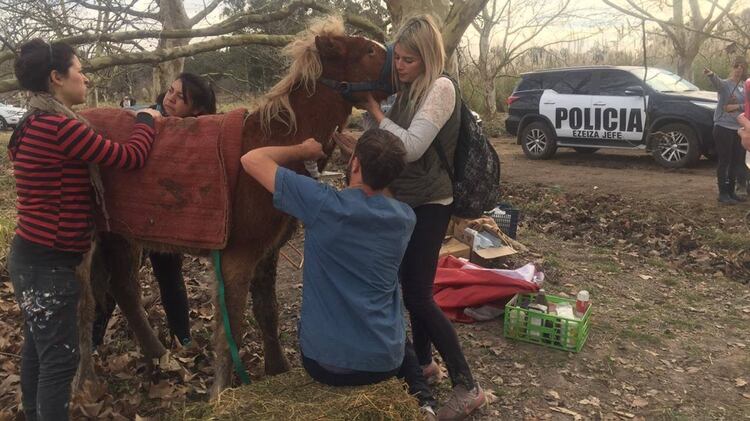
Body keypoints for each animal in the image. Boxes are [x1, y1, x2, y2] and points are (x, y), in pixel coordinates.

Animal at [78, 16, 390, 396]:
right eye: (370, 51)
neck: (271, 146)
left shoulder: (267, 252)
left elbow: (267, 311)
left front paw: (277, 370)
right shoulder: (236, 255)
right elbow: (232, 327)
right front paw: (222, 392)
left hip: (118, 236)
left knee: (121, 290)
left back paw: (159, 357)